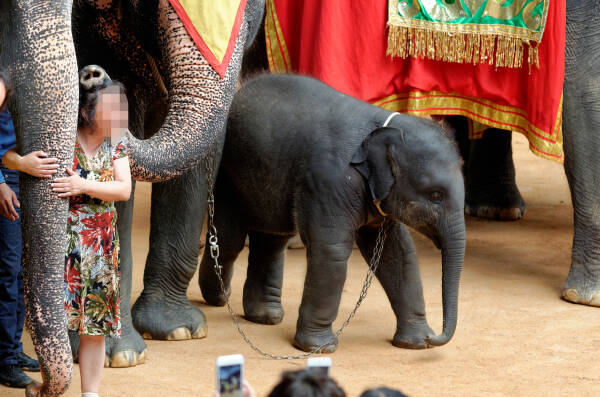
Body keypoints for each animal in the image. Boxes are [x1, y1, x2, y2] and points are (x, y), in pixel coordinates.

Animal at [199, 74, 466, 352]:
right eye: (436, 195)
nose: (434, 337)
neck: (382, 125)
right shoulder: (328, 180)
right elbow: (331, 249)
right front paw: (318, 348)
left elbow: (397, 251)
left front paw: (416, 343)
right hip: (227, 174)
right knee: (230, 240)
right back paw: (219, 298)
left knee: (272, 238)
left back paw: (264, 316)